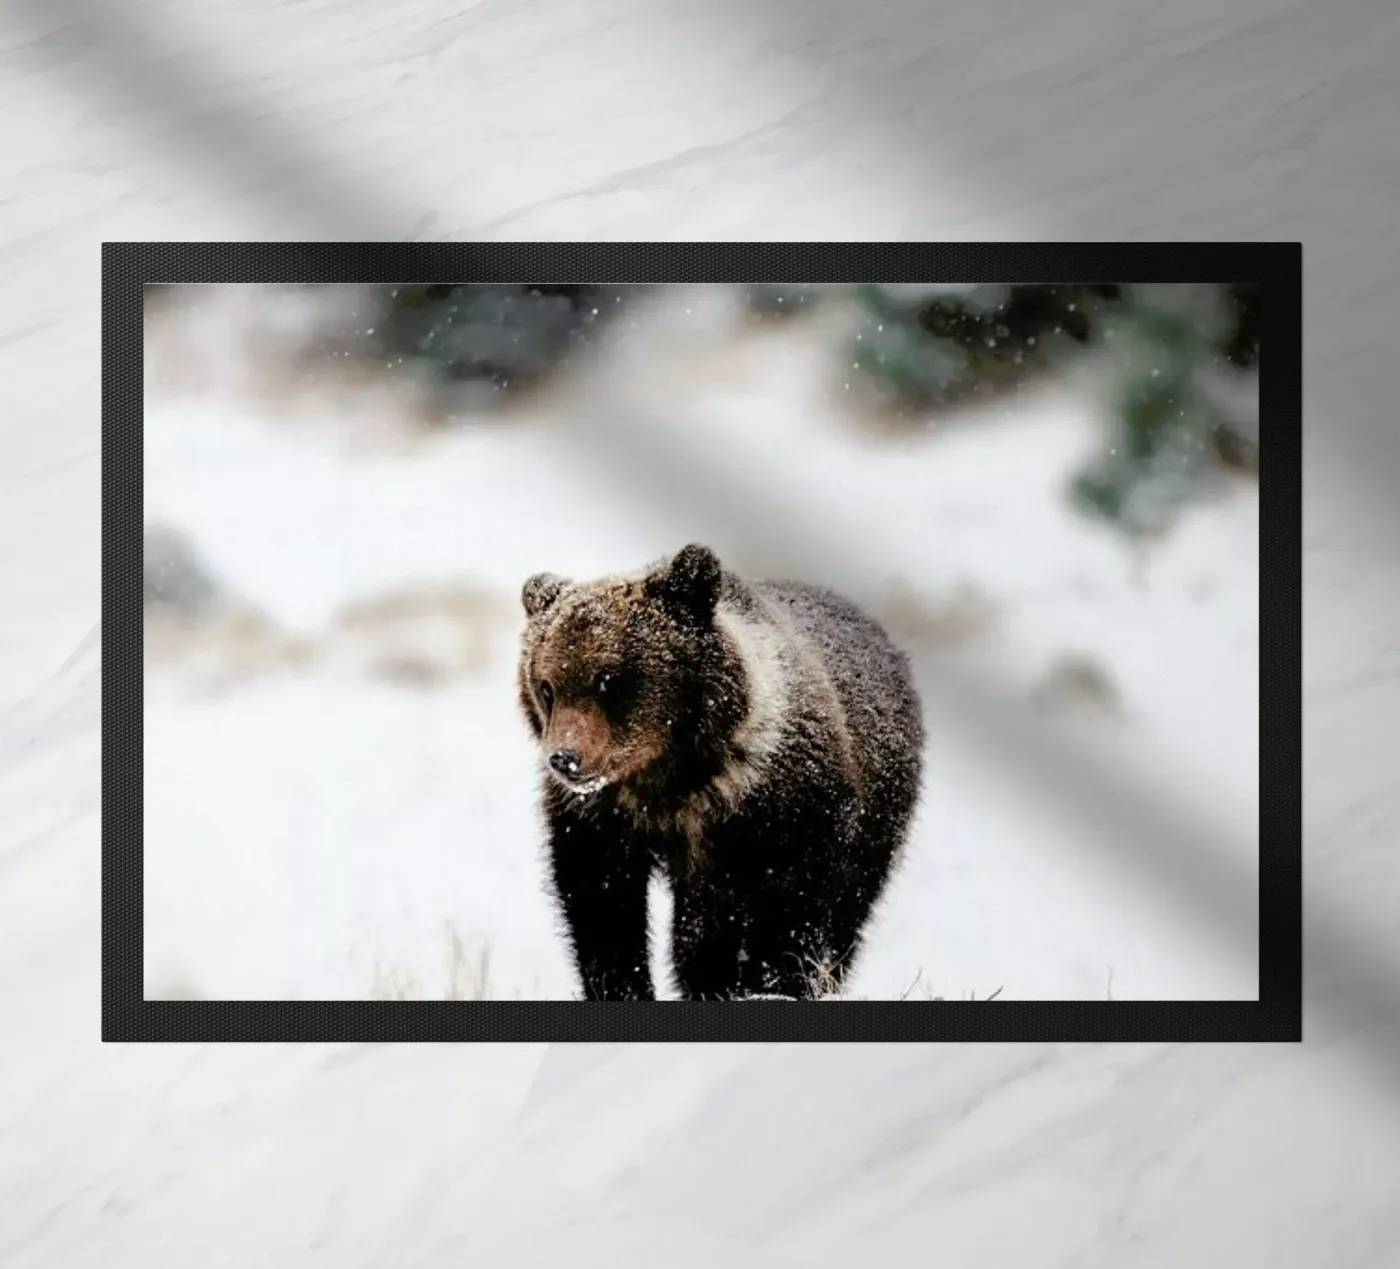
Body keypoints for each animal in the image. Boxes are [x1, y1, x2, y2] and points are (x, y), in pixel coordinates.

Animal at [516, 543, 924, 1001]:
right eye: (547, 686)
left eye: (609, 679)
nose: (566, 758)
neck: (670, 781)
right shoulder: (603, 819)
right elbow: (603, 907)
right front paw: (624, 986)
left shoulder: (781, 811)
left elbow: (786, 912)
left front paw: (770, 982)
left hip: (879, 815)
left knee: (847, 910)